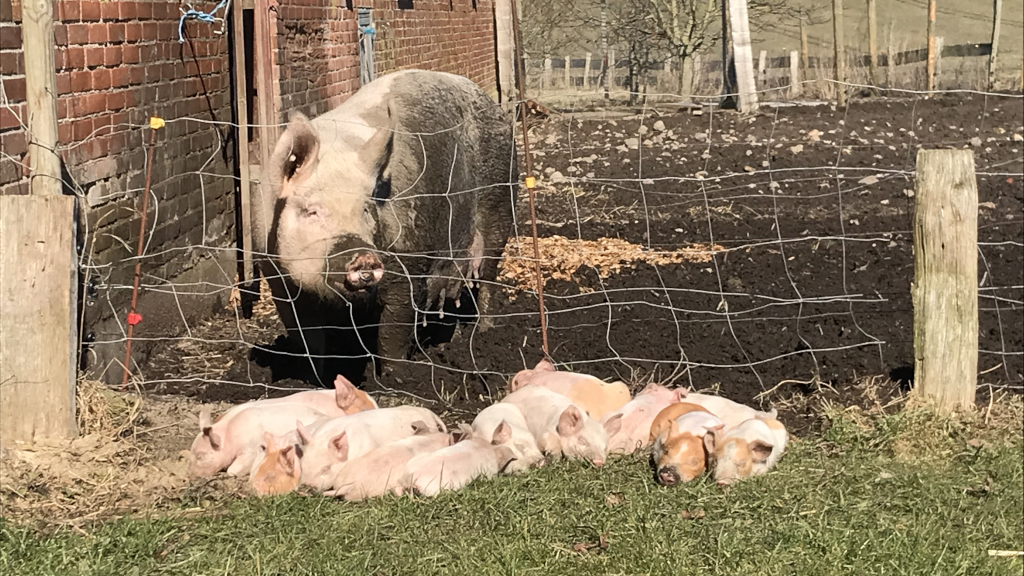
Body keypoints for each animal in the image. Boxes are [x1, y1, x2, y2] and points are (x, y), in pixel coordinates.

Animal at [251, 69, 518, 379]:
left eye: (366, 209)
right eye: (311, 211)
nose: (362, 255)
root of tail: (492, 104)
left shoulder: (409, 262)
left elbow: (393, 331)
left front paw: (396, 379)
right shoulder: (276, 278)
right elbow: (309, 339)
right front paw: (316, 380)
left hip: (501, 204)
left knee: (487, 276)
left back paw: (485, 333)